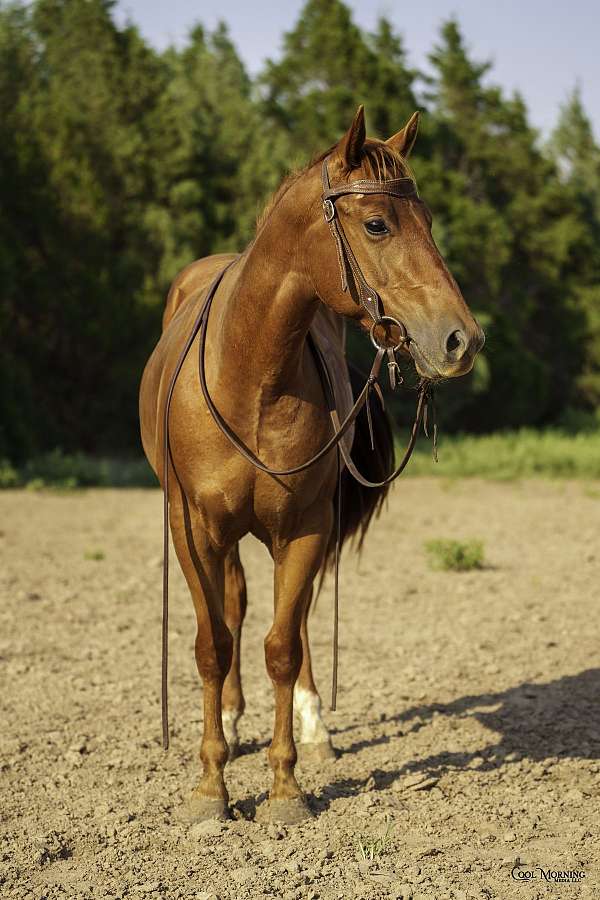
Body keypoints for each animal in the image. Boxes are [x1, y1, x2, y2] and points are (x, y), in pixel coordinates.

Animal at [139, 106, 484, 824]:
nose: (462, 339)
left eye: (429, 220)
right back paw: (233, 720)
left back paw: (313, 724)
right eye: (377, 224)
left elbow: (282, 644)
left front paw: (284, 786)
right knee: (236, 609)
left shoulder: (303, 528)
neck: (249, 375)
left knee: (287, 623)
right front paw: (210, 788)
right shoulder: (192, 529)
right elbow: (212, 644)